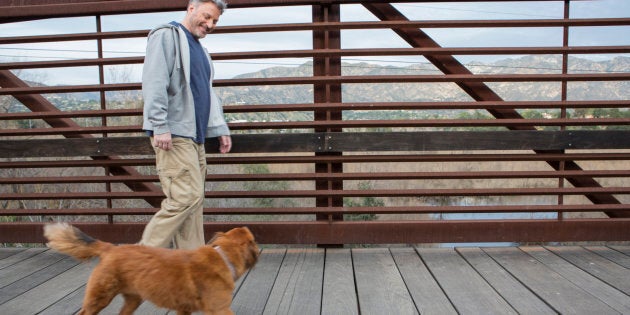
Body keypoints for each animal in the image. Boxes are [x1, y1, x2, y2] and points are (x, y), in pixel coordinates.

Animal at [43, 223, 260, 314]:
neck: (223, 256)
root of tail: (110, 248)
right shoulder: (220, 309)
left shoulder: (184, 310)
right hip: (99, 298)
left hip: (133, 299)